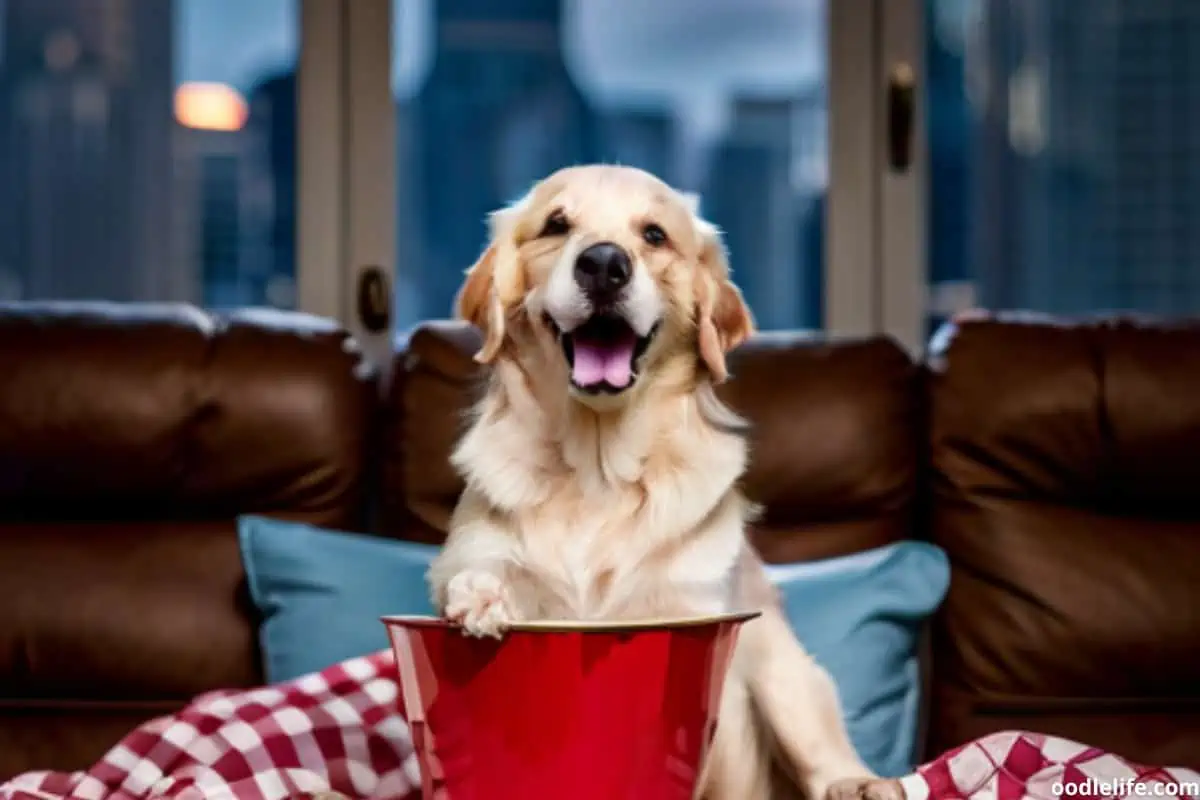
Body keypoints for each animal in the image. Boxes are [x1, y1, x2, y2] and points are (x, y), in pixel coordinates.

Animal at [427, 164, 902, 800]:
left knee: (824, 754)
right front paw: (482, 595)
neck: (597, 471)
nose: (604, 263)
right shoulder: (472, 555)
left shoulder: (693, 610)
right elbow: (485, 569)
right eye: (556, 224)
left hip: (785, 672)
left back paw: (863, 783)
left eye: (653, 234)